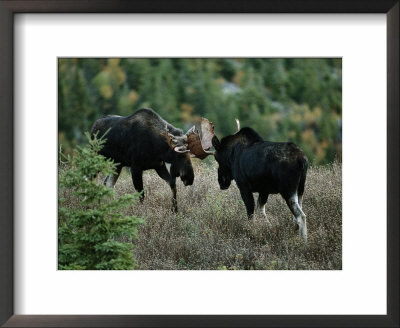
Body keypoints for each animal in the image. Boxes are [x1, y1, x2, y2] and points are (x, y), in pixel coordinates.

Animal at [176, 118, 310, 243]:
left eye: (217, 159)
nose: (221, 182)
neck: (231, 154)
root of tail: (302, 160)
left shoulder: (243, 185)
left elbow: (250, 211)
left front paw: (252, 232)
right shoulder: (264, 190)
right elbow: (260, 209)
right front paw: (269, 228)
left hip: (288, 189)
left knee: (301, 216)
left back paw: (304, 243)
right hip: (300, 189)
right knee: (297, 215)